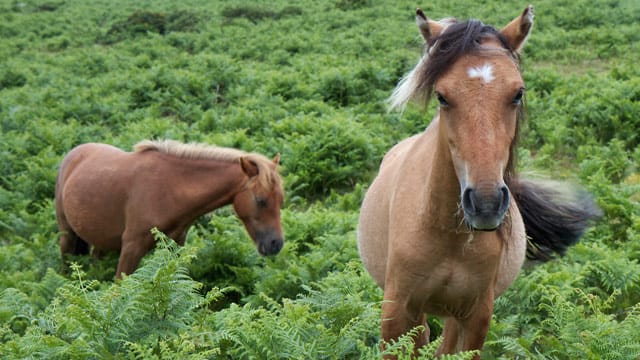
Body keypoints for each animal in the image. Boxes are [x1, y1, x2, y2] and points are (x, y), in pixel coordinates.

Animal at [56, 139, 284, 278]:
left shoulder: (176, 246)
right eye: (260, 200)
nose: (276, 244)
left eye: (280, 199)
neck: (170, 188)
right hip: (67, 234)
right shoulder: (131, 247)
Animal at [358, 4, 604, 358]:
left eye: (517, 93)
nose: (486, 204)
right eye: (442, 96)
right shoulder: (396, 312)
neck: (446, 234)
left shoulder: (476, 316)